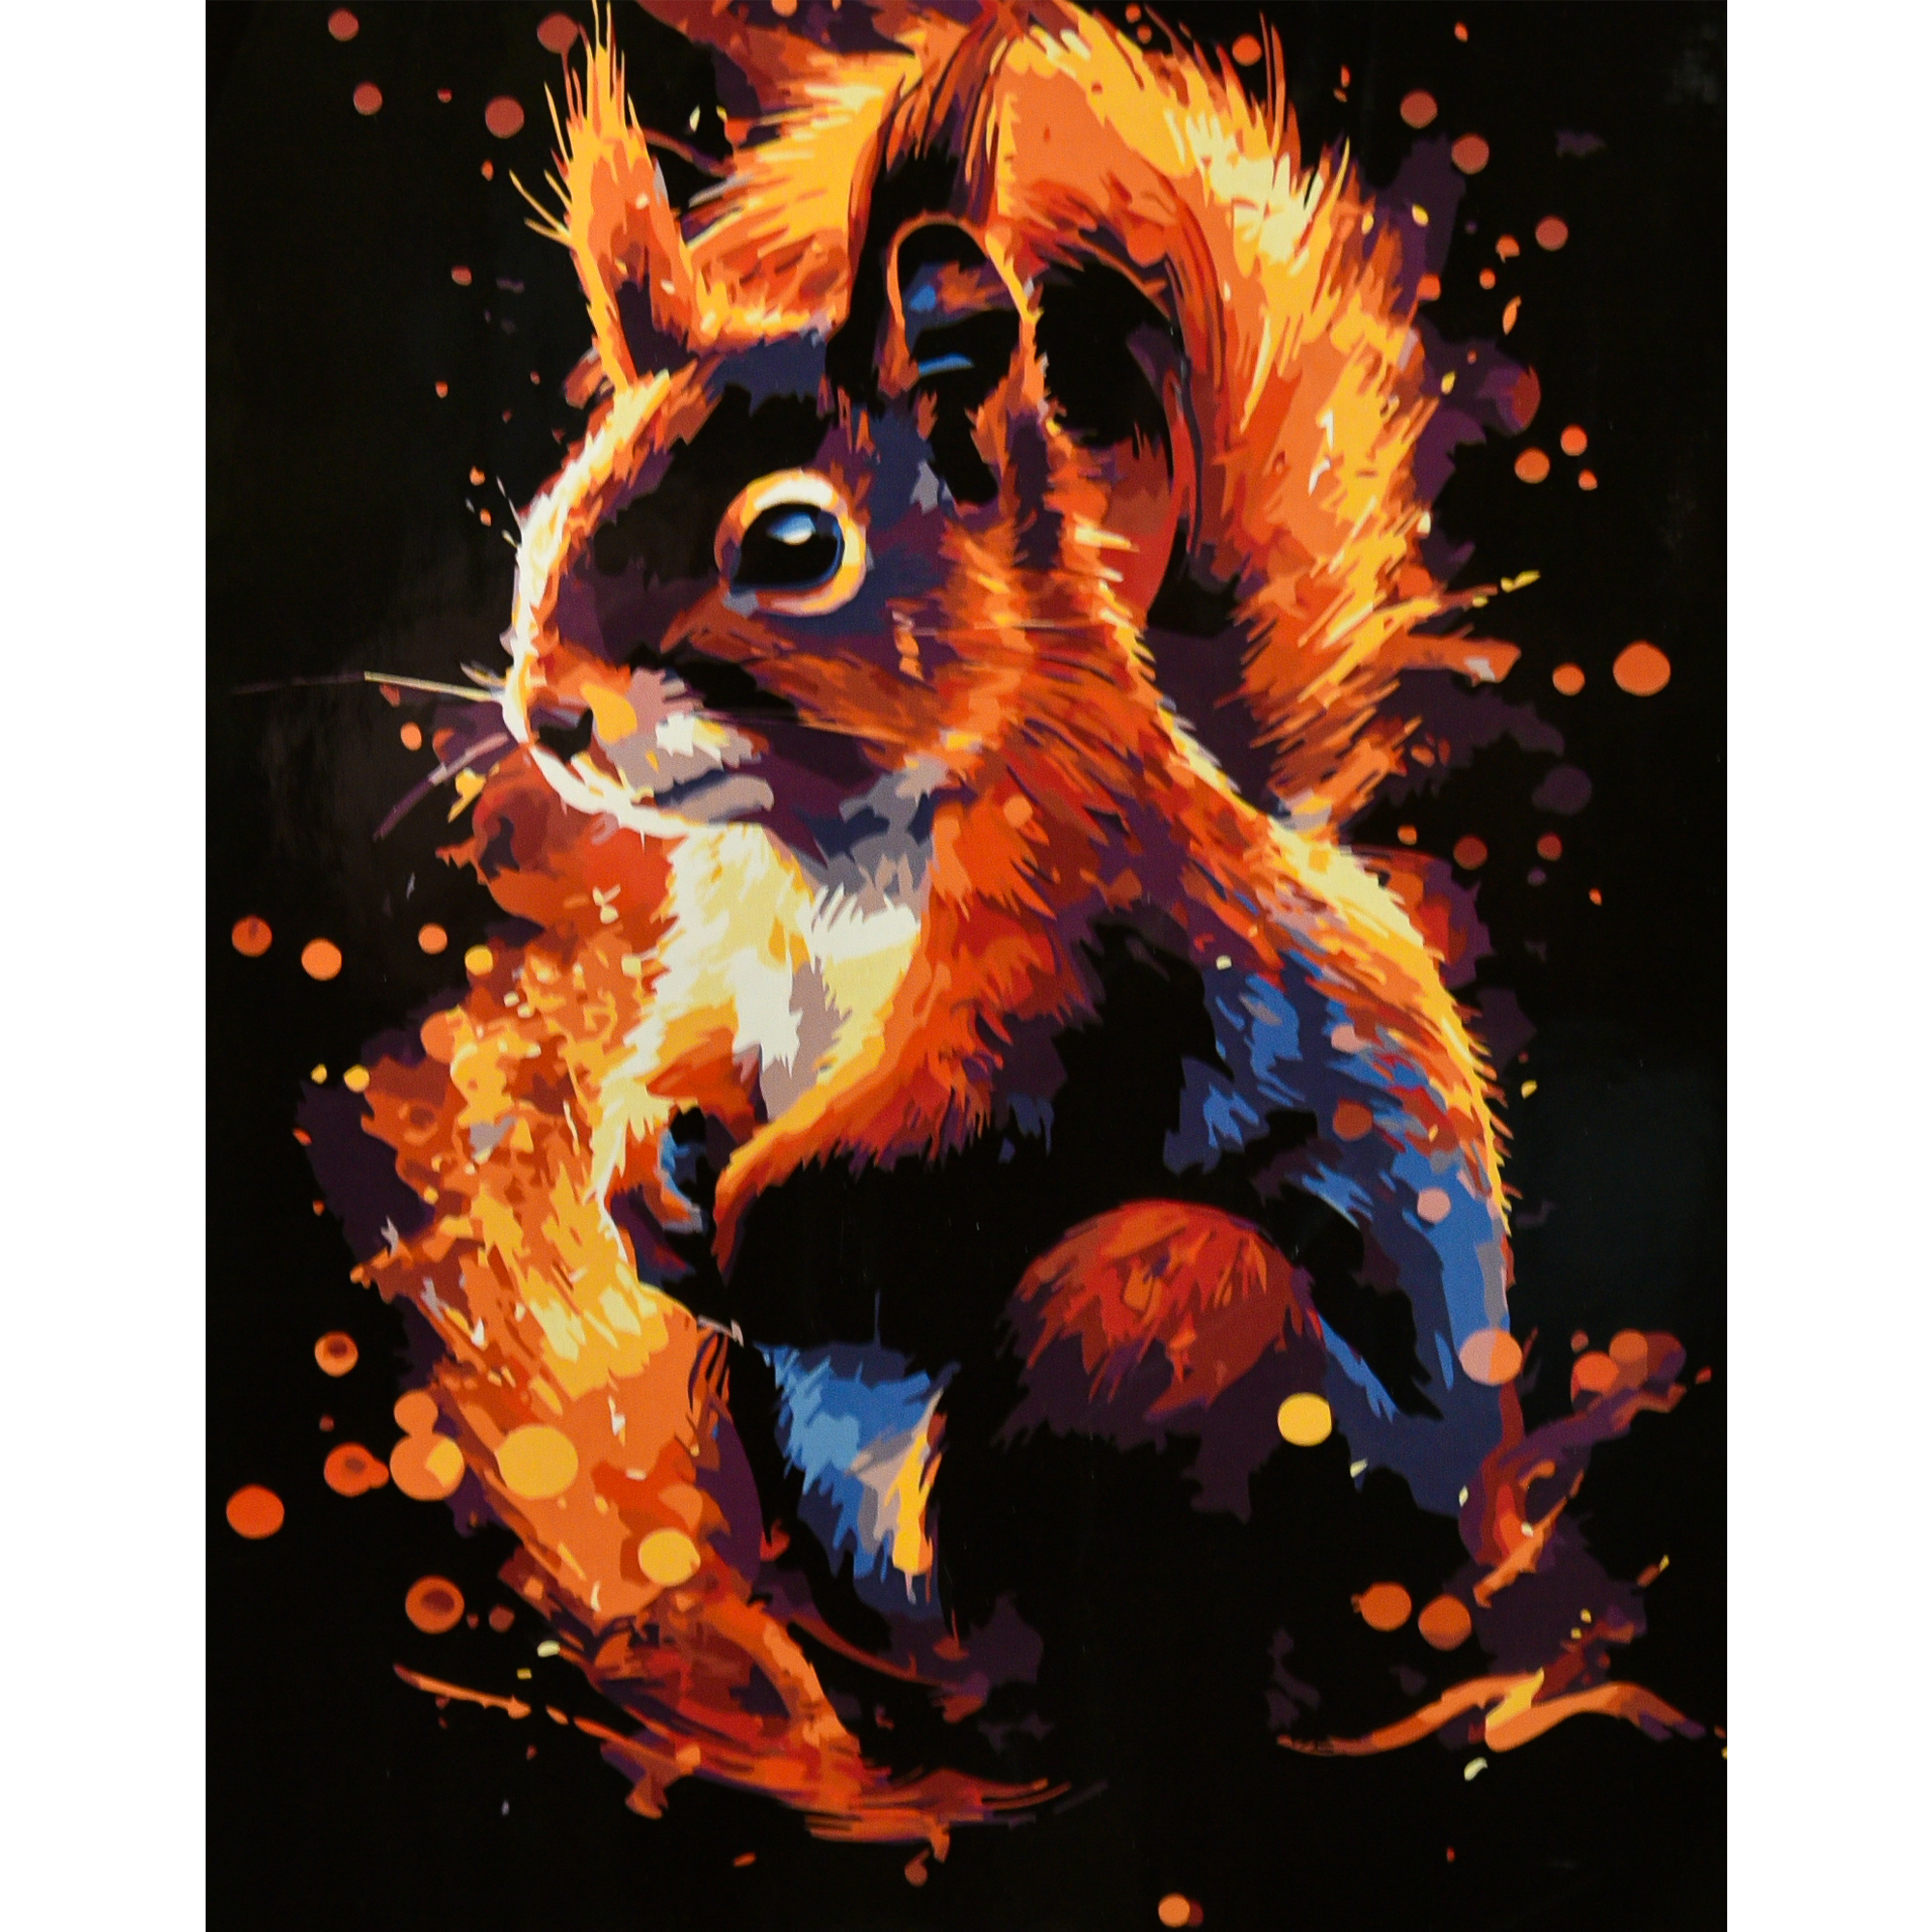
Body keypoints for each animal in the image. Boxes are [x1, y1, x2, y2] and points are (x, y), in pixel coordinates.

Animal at [312, 3, 1699, 1848]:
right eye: (561, 501)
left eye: (796, 543)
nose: (552, 718)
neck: (830, 851)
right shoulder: (720, 955)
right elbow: (682, 1050)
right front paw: (638, 1168)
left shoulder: (1090, 969)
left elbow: (934, 1163)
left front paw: (732, 1218)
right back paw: (859, 1719)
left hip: (1168, 1335)